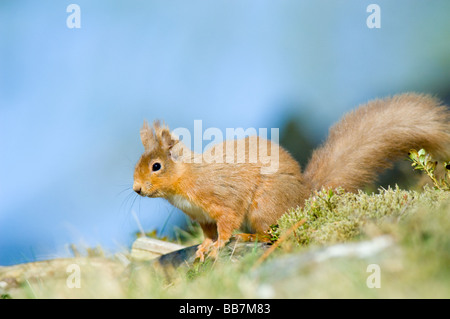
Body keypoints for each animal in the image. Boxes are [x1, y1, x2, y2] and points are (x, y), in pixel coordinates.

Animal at [133, 93, 450, 262]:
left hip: (264, 205)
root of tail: (305, 197)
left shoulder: (222, 199)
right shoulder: (202, 217)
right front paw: (203, 247)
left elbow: (226, 224)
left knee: (272, 232)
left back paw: (249, 235)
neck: (185, 180)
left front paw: (220, 245)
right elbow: (208, 232)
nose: (136, 189)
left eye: (156, 166)